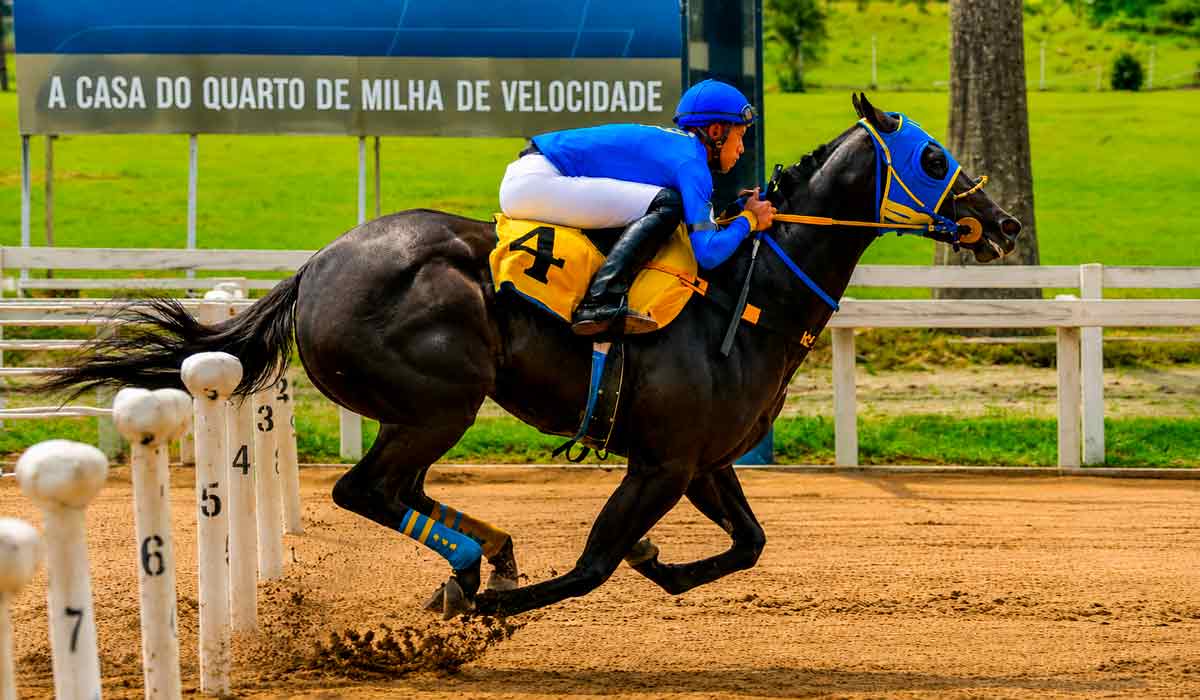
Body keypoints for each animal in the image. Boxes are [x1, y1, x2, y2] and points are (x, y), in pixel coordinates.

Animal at [38, 93, 1021, 618]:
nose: (1004, 222)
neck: (750, 297)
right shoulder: (662, 461)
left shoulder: (701, 460)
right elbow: (590, 567)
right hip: (443, 398)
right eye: (932, 157)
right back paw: (477, 575)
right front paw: (502, 609)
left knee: (397, 492)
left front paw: (660, 564)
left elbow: (747, 543)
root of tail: (317, 267)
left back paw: (484, 557)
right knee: (368, 490)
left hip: (425, 409)